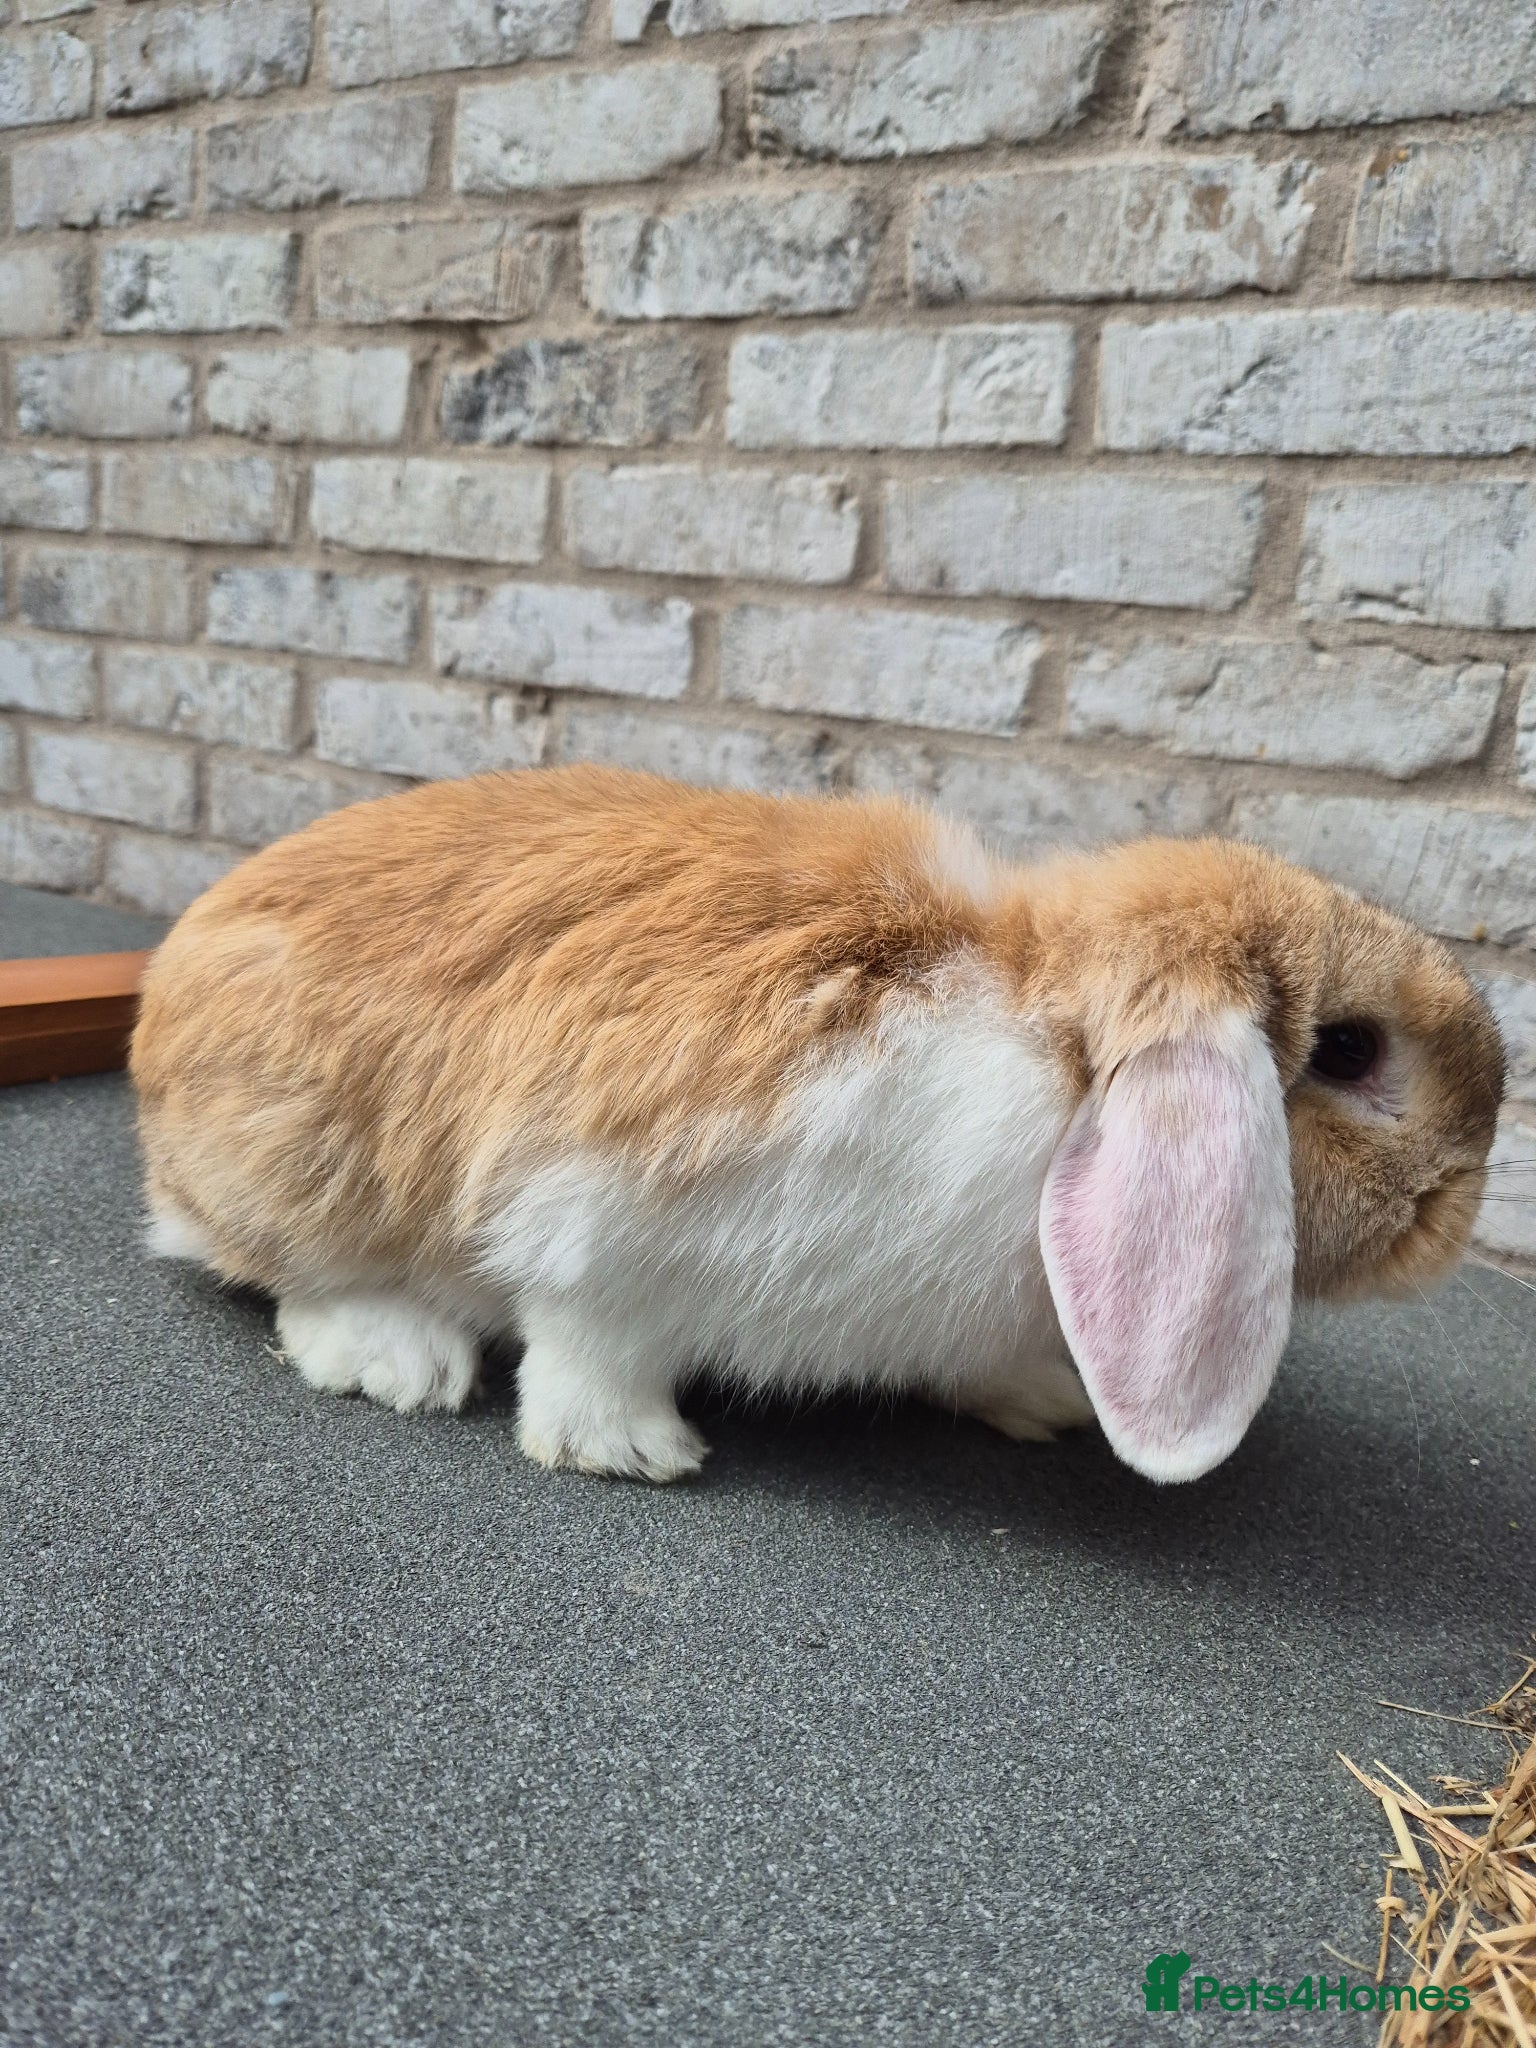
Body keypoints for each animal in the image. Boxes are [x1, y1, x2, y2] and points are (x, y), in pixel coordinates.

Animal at [130, 765, 1505, 1486]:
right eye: (1350, 1050)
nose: (1468, 1196)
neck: (1050, 1055)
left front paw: (1051, 1399)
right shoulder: (603, 1230)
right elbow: (585, 1350)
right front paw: (634, 1450)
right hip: (302, 1165)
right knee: (289, 1273)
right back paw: (398, 1357)